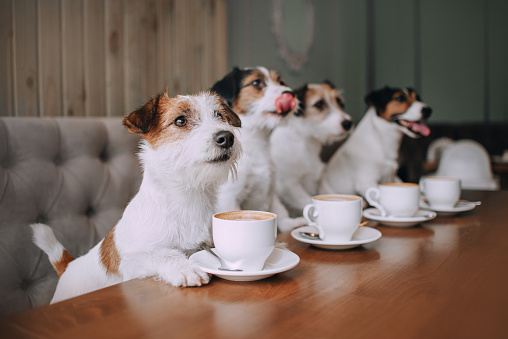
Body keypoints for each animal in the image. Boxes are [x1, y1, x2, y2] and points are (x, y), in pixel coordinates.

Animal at [30, 91, 241, 304]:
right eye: (180, 120)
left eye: (219, 115)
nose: (227, 137)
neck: (189, 197)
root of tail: (68, 266)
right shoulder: (129, 262)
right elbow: (161, 254)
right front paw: (185, 267)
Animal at [210, 67, 306, 234]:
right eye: (256, 82)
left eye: (281, 82)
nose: (290, 93)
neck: (256, 143)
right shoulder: (229, 197)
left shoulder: (271, 190)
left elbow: (279, 210)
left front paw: (289, 224)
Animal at [272, 81, 352, 216]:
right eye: (319, 104)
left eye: (340, 102)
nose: (348, 123)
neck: (306, 142)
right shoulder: (288, 185)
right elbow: (308, 201)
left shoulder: (319, 179)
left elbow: (330, 193)